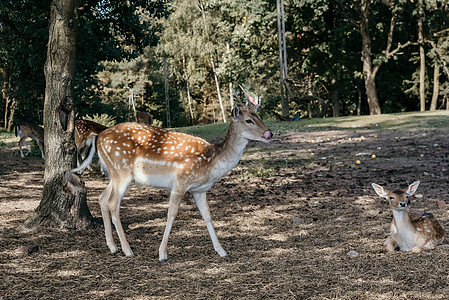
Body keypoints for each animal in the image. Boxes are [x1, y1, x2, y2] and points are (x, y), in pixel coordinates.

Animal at [72, 104, 272, 262]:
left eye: (259, 117)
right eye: (248, 120)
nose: (269, 133)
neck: (211, 163)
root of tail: (98, 138)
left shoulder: (200, 190)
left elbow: (207, 215)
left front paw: (222, 251)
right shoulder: (180, 183)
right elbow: (171, 214)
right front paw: (162, 254)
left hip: (113, 174)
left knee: (102, 198)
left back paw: (112, 247)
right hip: (121, 171)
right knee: (113, 203)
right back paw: (127, 250)